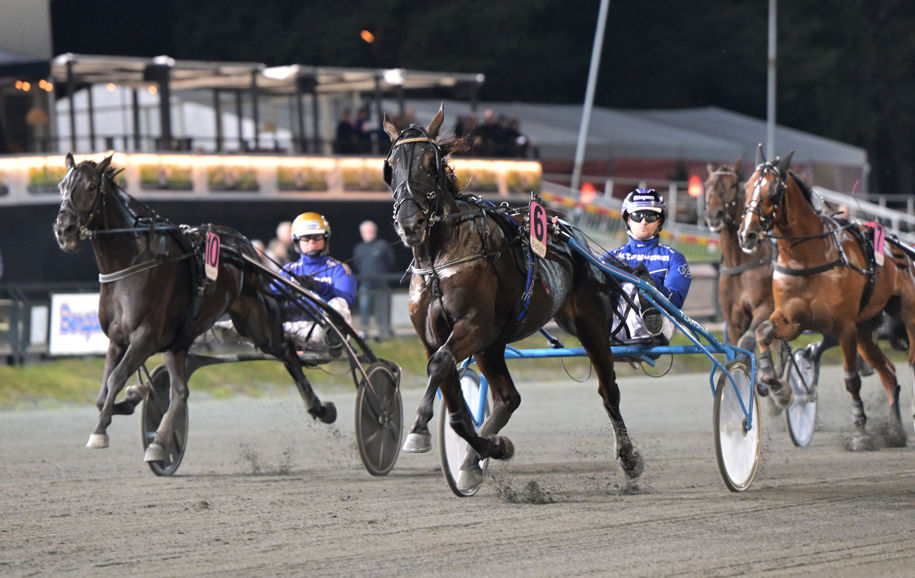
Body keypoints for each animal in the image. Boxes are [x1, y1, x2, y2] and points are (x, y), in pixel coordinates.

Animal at [52, 153, 336, 462]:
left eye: (92, 186)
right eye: (62, 185)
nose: (64, 229)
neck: (131, 263)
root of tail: (243, 245)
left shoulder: (145, 337)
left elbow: (115, 379)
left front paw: (100, 431)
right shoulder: (118, 339)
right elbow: (104, 394)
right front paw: (132, 397)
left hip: (258, 324)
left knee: (287, 352)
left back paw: (320, 408)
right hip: (182, 341)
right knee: (180, 391)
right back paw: (160, 442)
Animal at [383, 106, 642, 491]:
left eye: (432, 163)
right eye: (391, 165)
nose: (410, 223)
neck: (439, 259)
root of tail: (568, 232)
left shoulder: (472, 326)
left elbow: (442, 367)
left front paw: (418, 429)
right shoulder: (434, 337)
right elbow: (452, 398)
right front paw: (488, 449)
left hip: (590, 325)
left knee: (609, 390)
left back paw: (629, 458)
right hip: (491, 346)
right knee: (508, 398)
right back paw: (475, 458)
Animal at [737, 145, 914, 446]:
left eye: (774, 189)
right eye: (747, 186)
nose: (747, 234)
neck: (808, 257)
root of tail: (902, 248)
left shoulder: (844, 327)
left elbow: (851, 379)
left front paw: (860, 425)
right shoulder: (792, 319)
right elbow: (763, 331)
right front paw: (775, 385)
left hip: (906, 314)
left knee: (910, 360)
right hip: (865, 331)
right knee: (889, 375)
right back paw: (896, 432)